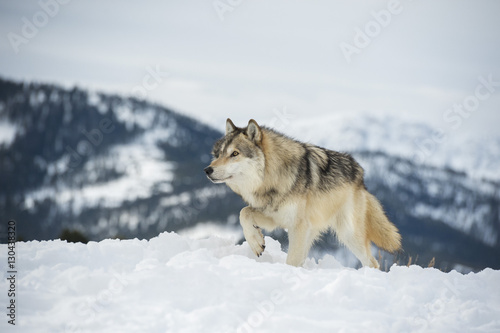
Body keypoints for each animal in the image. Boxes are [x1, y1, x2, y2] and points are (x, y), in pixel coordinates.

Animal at [203, 118, 402, 266]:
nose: (207, 170)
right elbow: (243, 213)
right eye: (218, 154)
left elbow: (291, 260)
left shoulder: (297, 226)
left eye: (235, 154)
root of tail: (360, 174)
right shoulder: (275, 218)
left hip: (348, 234)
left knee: (372, 262)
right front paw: (256, 242)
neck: (273, 177)